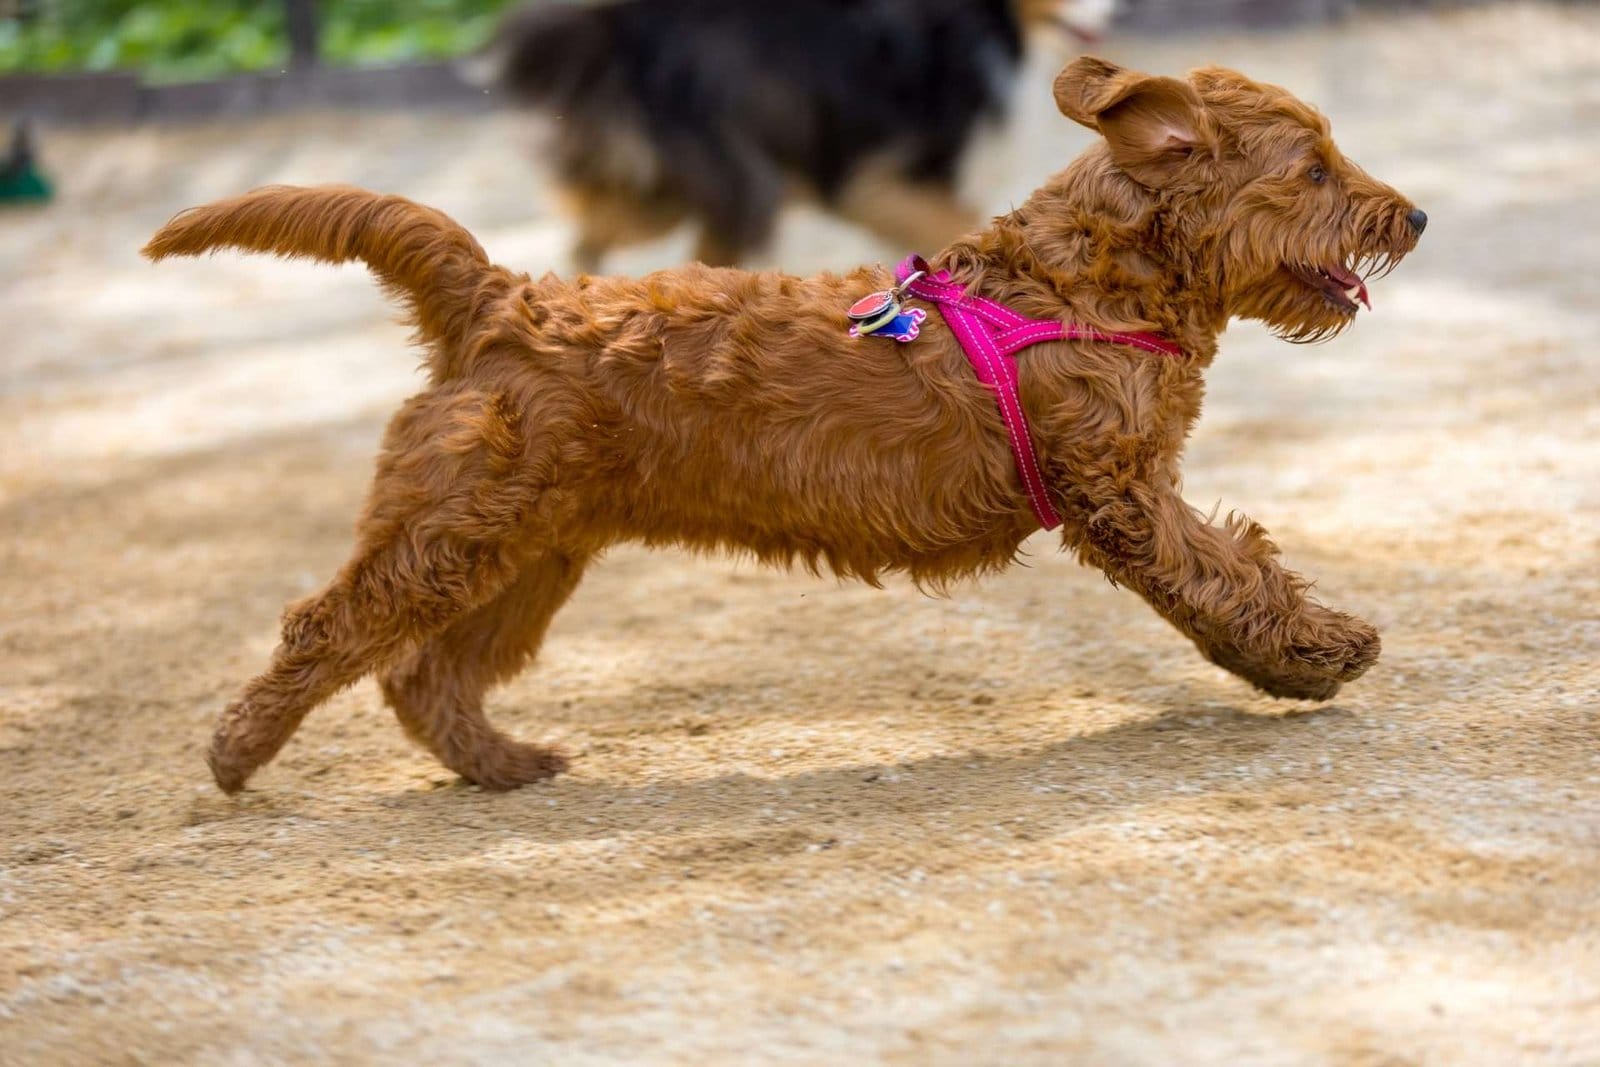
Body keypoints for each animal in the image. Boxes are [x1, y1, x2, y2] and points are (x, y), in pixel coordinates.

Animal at [147, 58, 1427, 793]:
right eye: (1314, 168)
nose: (1413, 214)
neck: (1084, 279)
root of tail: (499, 299)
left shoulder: (1126, 485)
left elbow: (1226, 570)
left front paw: (1297, 660)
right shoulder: (1119, 488)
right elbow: (1227, 573)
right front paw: (1320, 652)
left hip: (525, 547)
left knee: (428, 673)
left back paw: (503, 765)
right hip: (455, 526)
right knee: (328, 626)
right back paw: (236, 755)